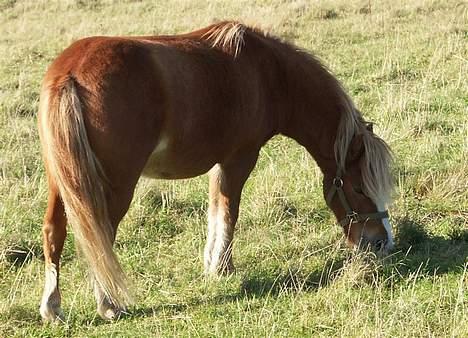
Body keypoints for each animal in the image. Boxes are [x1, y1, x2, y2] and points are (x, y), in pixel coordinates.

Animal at [36, 21, 394, 322]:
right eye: (359, 188)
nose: (382, 242)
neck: (268, 74)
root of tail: (68, 73)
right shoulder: (240, 159)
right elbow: (229, 212)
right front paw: (223, 267)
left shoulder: (219, 164)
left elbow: (215, 211)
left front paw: (212, 263)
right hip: (115, 185)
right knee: (101, 238)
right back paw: (109, 304)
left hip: (63, 182)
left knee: (54, 232)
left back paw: (52, 308)